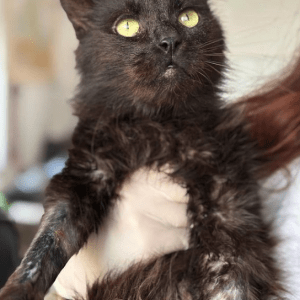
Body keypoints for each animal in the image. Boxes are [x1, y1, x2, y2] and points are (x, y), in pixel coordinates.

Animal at [0, 0, 284, 298]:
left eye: (188, 18)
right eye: (127, 26)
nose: (169, 41)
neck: (157, 128)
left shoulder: (229, 214)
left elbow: (233, 282)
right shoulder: (83, 175)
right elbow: (46, 243)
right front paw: (17, 290)